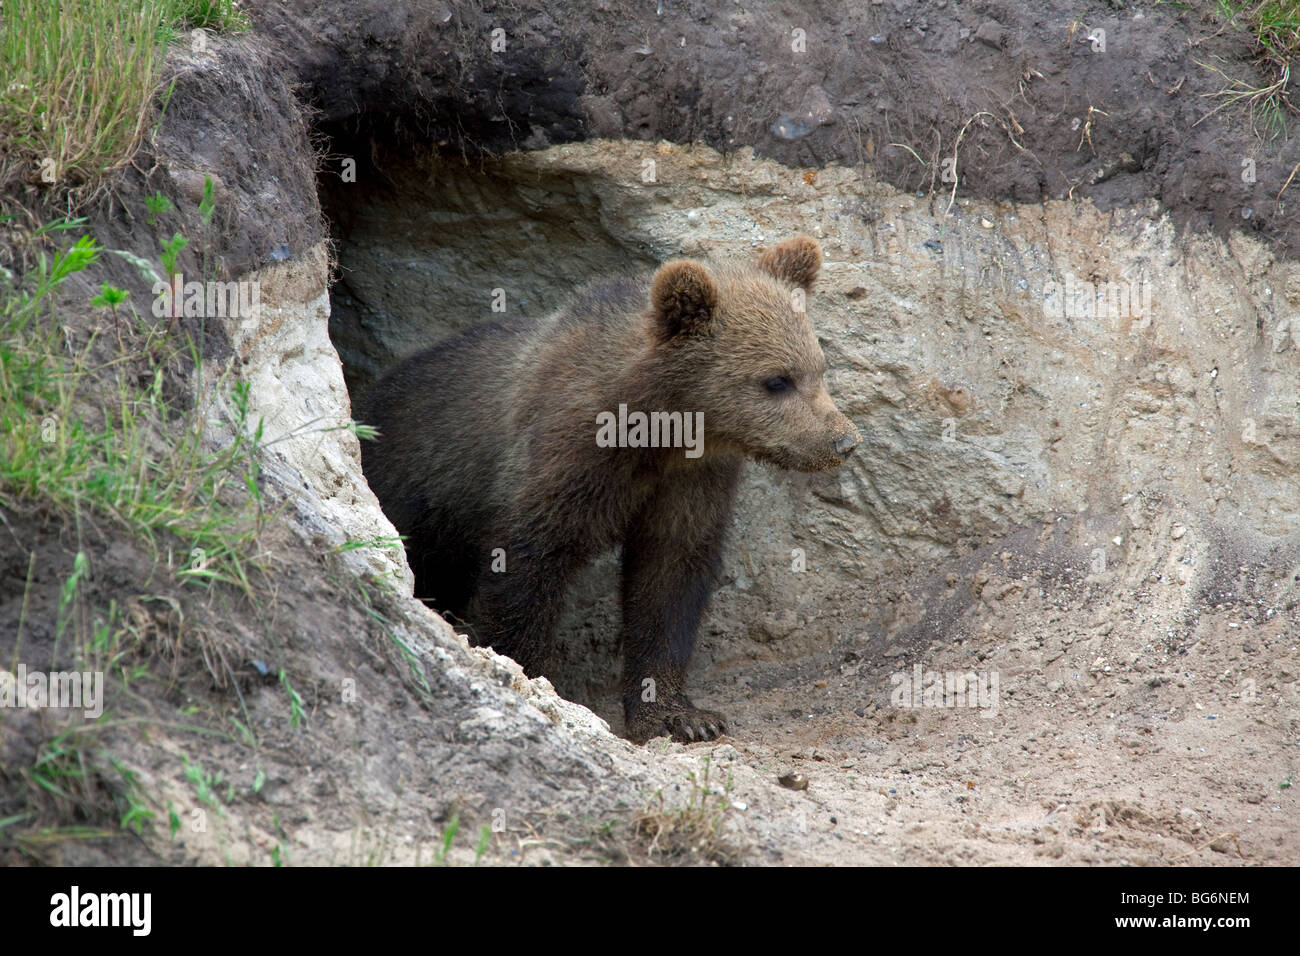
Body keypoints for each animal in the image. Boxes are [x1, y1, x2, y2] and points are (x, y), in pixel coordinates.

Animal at [356, 235, 860, 743]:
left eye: (820, 368)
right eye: (777, 379)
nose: (844, 441)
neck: (655, 430)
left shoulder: (691, 481)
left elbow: (669, 579)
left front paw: (679, 714)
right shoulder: (562, 461)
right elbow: (527, 569)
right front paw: (529, 676)